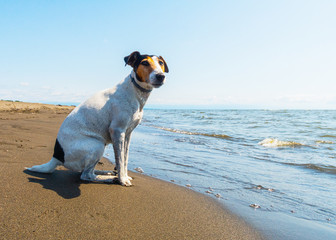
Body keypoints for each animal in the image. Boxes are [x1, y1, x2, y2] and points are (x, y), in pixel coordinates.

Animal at [26, 50, 169, 187]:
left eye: (161, 63)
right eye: (145, 63)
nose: (161, 76)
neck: (135, 91)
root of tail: (57, 157)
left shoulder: (127, 134)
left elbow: (125, 159)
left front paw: (124, 176)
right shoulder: (117, 131)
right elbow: (120, 160)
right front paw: (122, 179)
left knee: (87, 172)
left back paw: (105, 172)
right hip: (97, 145)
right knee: (86, 175)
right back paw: (110, 178)